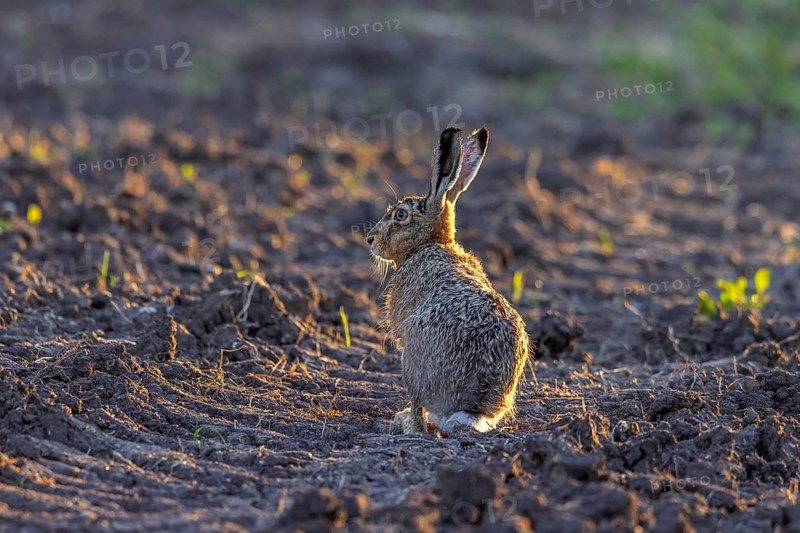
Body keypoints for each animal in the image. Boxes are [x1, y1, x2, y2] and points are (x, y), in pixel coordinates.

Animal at [365, 127, 530, 435]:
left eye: (400, 215)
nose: (370, 239)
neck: (430, 243)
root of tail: (470, 407)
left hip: (411, 364)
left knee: (419, 411)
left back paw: (406, 422)